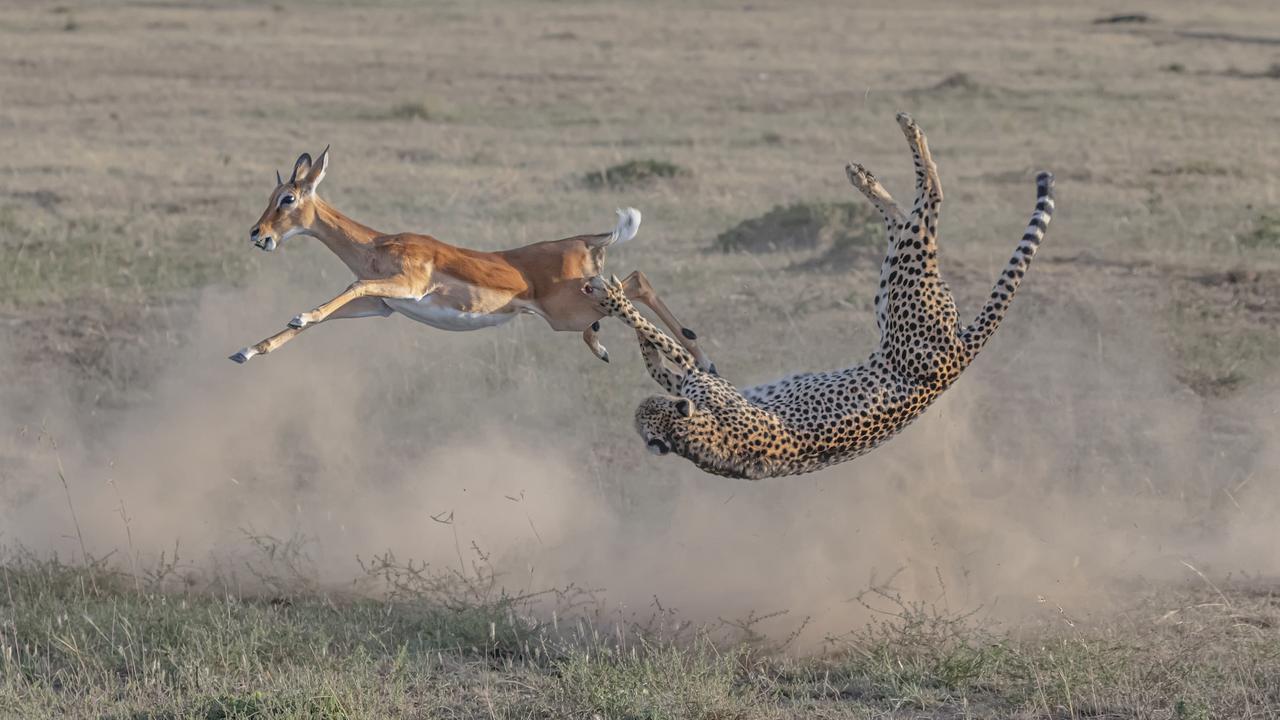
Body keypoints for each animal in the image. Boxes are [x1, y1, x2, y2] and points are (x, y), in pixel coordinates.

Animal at [586, 114, 1054, 479]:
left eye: (647, 411)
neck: (701, 441)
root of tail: (961, 354)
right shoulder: (703, 381)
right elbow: (668, 358)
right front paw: (629, 322)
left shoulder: (706, 382)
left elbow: (671, 348)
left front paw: (615, 300)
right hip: (898, 285)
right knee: (912, 217)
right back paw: (869, 173)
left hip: (906, 288)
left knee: (929, 201)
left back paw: (900, 140)